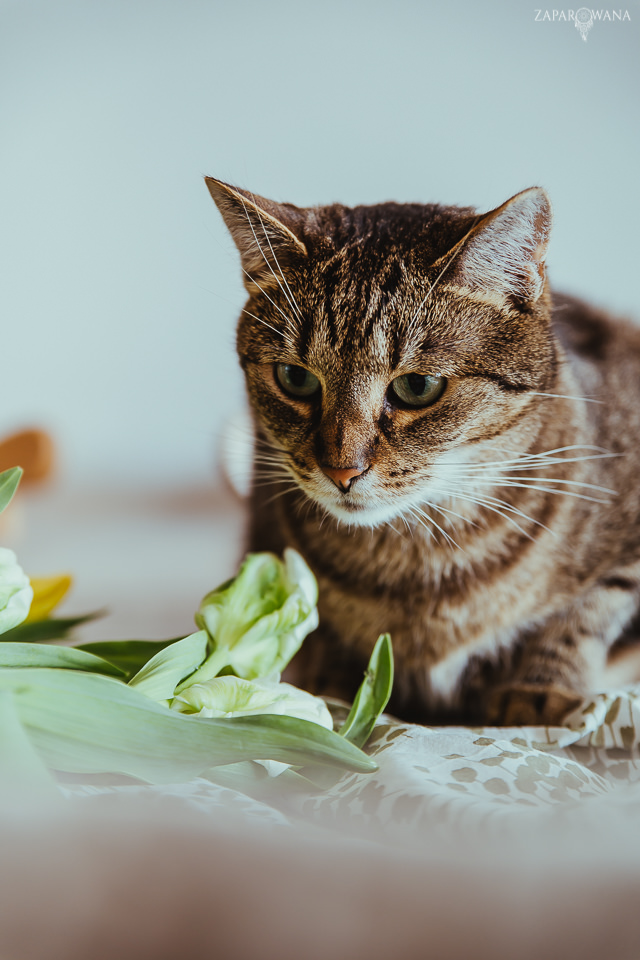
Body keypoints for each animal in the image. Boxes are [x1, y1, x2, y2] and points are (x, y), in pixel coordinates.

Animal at [206, 176, 640, 724]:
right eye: (295, 378)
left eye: (418, 387)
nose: (341, 470)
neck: (420, 566)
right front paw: (331, 686)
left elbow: (585, 613)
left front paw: (537, 691)